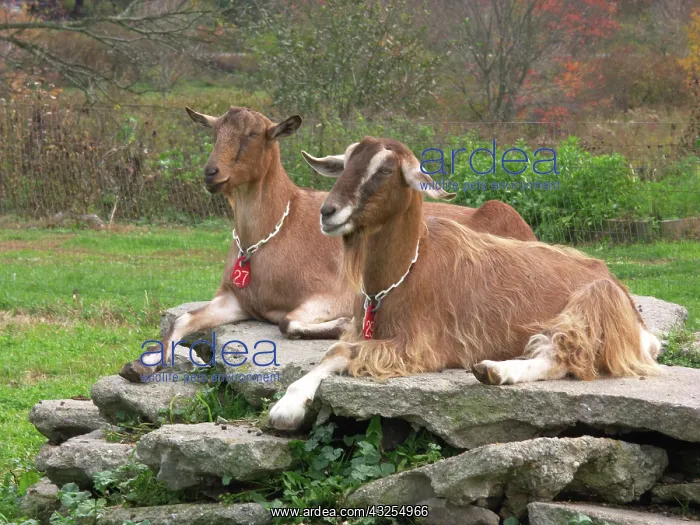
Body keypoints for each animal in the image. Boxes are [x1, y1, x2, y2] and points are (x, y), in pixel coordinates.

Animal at [119, 111, 536, 382]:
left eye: (255, 135)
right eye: (214, 131)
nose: (211, 173)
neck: (273, 233)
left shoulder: (328, 292)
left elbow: (289, 323)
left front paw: (340, 326)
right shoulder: (236, 300)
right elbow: (183, 320)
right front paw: (143, 364)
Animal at [267, 136, 661, 430]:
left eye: (385, 169)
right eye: (345, 164)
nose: (328, 212)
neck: (405, 271)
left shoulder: (419, 346)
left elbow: (345, 352)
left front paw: (285, 408)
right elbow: (334, 351)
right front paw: (291, 402)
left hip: (592, 304)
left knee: (566, 356)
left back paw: (495, 370)